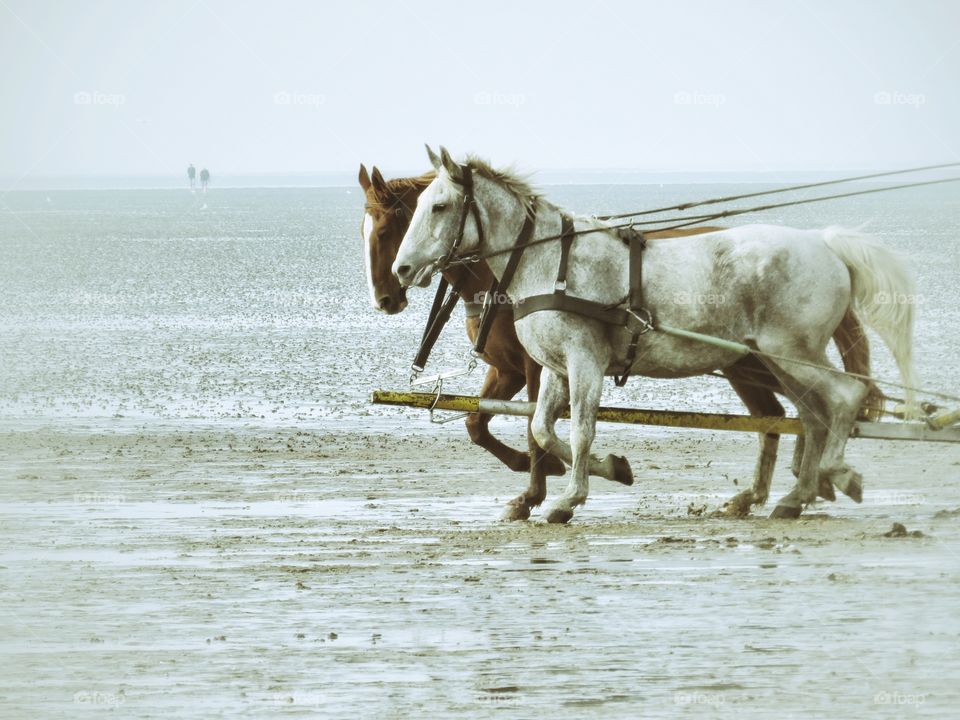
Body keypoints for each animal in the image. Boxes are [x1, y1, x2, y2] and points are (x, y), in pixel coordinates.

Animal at [394, 146, 920, 520]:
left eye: (439, 206)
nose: (401, 270)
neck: (552, 262)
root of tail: (823, 243)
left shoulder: (585, 361)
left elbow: (581, 429)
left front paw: (569, 499)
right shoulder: (555, 368)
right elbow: (544, 429)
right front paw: (612, 468)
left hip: (791, 351)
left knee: (844, 397)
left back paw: (835, 473)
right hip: (778, 359)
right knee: (812, 415)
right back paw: (797, 496)